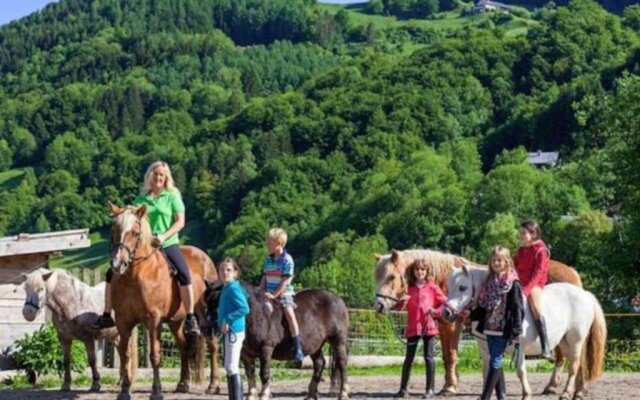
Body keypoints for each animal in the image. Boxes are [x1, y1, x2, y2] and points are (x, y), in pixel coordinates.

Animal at [107, 203, 220, 400]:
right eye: (114, 230)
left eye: (135, 233)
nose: (118, 264)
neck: (134, 276)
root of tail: (205, 258)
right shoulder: (123, 321)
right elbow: (125, 354)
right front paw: (124, 391)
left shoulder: (154, 321)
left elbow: (154, 355)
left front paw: (156, 391)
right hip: (175, 321)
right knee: (183, 346)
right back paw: (183, 383)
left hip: (204, 313)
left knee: (212, 345)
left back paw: (214, 385)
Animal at [206, 282, 348, 400]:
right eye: (207, 302)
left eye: (222, 301)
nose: (206, 328)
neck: (257, 315)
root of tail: (338, 299)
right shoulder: (246, 354)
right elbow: (250, 373)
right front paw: (251, 395)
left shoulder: (266, 348)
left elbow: (264, 373)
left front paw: (264, 395)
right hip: (315, 346)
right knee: (319, 364)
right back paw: (311, 395)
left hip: (338, 340)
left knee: (342, 364)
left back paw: (343, 393)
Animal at [372, 248, 584, 396]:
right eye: (377, 276)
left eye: (391, 276)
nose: (379, 305)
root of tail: (572, 273)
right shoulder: (445, 321)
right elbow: (449, 356)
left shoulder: (451, 324)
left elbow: (450, 354)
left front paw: (450, 387)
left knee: (564, 358)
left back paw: (556, 387)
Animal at [442, 266, 608, 400]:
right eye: (448, 286)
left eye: (462, 287)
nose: (446, 313)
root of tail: (585, 295)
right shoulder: (486, 349)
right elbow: (489, 371)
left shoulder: (519, 348)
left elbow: (520, 371)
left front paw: (526, 394)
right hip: (565, 342)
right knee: (577, 364)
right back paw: (578, 392)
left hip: (576, 341)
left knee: (574, 365)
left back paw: (567, 393)